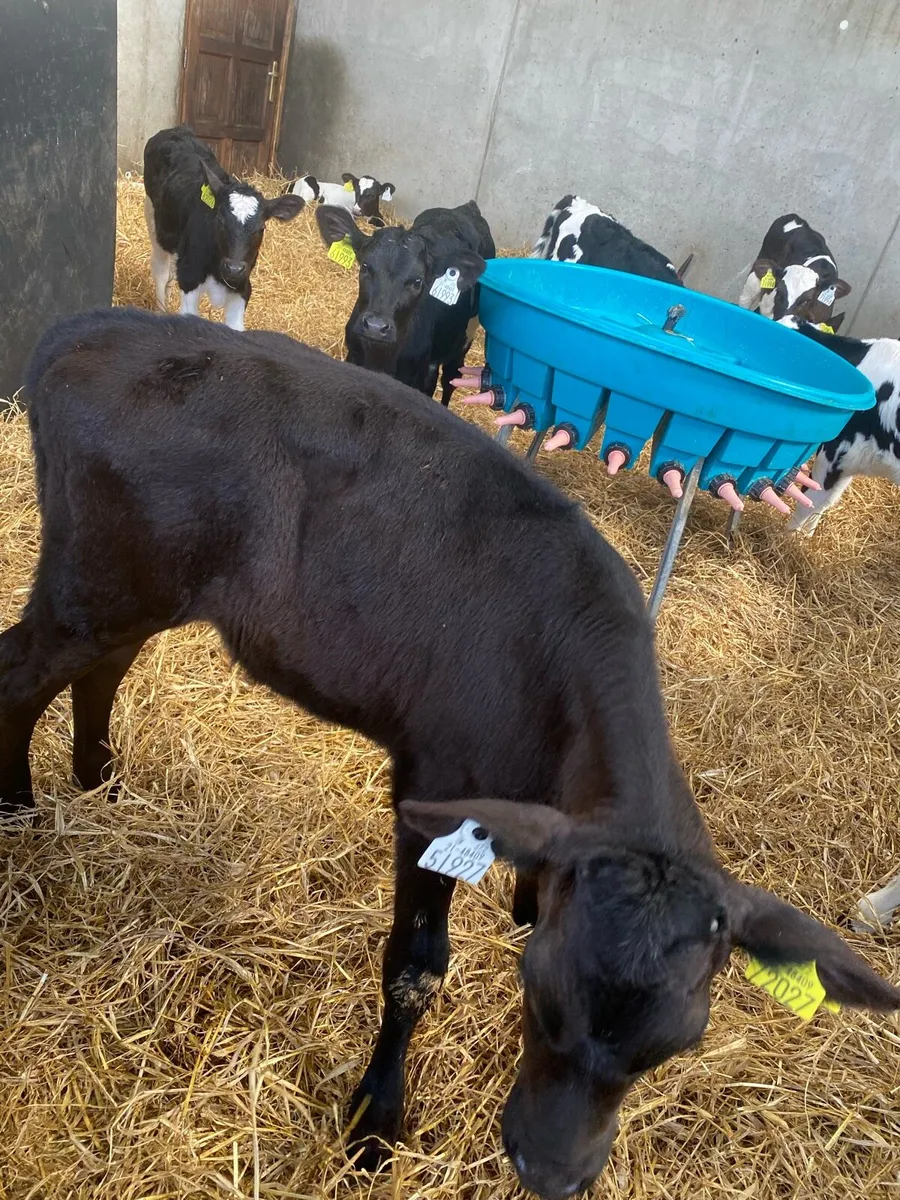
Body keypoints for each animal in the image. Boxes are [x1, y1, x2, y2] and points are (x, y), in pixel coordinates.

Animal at [143, 125, 304, 331]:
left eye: (261, 229)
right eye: (219, 221)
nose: (234, 268)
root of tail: (176, 129)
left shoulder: (242, 288)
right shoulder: (189, 278)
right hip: (155, 223)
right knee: (161, 272)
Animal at [316, 200, 495, 405]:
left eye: (418, 281)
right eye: (365, 267)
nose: (376, 327)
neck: (380, 358)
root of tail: (466, 207)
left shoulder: (422, 376)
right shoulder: (353, 357)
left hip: (463, 341)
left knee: (451, 379)